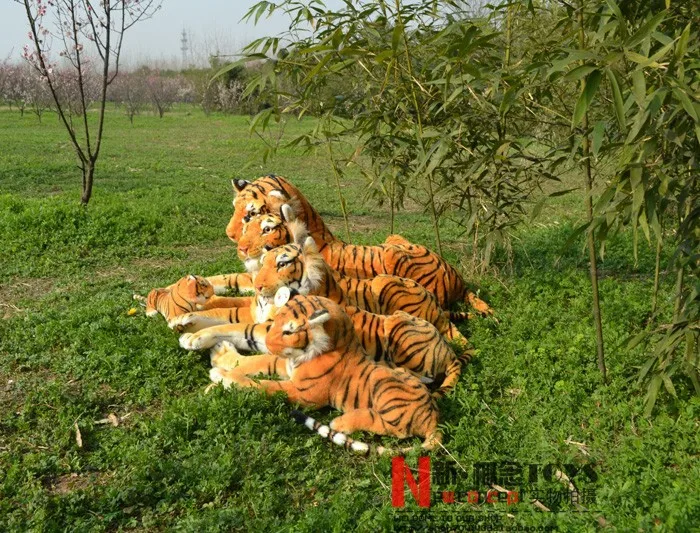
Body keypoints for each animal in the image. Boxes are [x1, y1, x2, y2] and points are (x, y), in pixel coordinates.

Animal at [208, 294, 442, 454]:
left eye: (288, 331)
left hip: (384, 386)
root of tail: (433, 416)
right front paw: (219, 365)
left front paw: (223, 377)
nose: (266, 342)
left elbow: (265, 386)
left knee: (387, 425)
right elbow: (260, 361)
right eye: (274, 323)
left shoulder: (303, 393)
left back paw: (340, 422)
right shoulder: (287, 367)